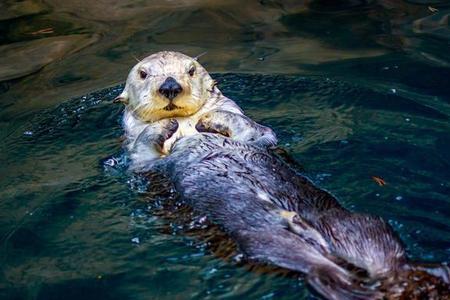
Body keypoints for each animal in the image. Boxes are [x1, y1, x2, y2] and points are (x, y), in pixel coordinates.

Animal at [116, 51, 450, 298]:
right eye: (144, 74)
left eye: (191, 70)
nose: (170, 86)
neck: (186, 124)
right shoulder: (140, 161)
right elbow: (145, 149)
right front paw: (163, 127)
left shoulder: (257, 133)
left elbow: (254, 131)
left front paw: (214, 119)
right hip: (265, 243)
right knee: (318, 267)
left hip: (350, 224)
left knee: (385, 256)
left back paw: (426, 275)